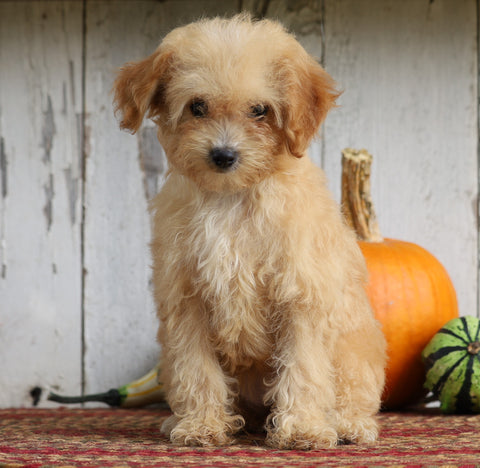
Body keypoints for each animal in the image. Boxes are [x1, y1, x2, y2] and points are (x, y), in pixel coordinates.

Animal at [113, 12, 386, 448]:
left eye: (259, 110)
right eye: (197, 107)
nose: (223, 155)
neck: (233, 199)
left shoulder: (300, 296)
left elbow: (304, 367)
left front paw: (303, 429)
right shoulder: (187, 297)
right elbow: (196, 368)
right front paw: (201, 426)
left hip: (355, 350)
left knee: (353, 392)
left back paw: (348, 425)